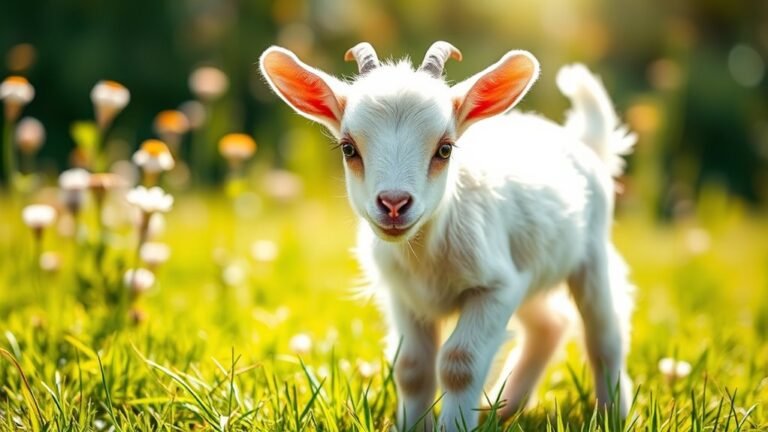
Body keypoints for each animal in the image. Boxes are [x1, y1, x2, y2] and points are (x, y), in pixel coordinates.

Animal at [260, 41, 636, 431]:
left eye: (445, 148)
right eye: (348, 148)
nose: (394, 204)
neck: (426, 253)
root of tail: (582, 142)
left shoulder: (497, 288)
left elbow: (459, 363)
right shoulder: (404, 295)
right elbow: (412, 367)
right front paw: (412, 424)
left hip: (592, 256)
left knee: (604, 335)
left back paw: (613, 413)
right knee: (550, 324)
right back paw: (505, 406)